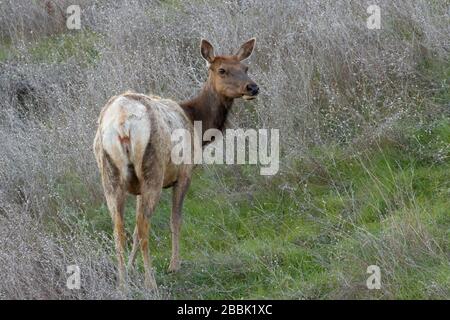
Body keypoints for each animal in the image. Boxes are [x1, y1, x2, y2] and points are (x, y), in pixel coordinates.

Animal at [93, 38, 258, 290]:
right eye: (222, 70)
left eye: (245, 67)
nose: (252, 88)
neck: (197, 123)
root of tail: (122, 123)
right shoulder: (184, 173)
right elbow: (175, 220)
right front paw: (174, 265)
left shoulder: (137, 188)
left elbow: (132, 230)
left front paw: (130, 268)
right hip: (153, 168)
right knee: (144, 226)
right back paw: (151, 282)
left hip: (110, 174)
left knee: (119, 229)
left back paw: (122, 283)